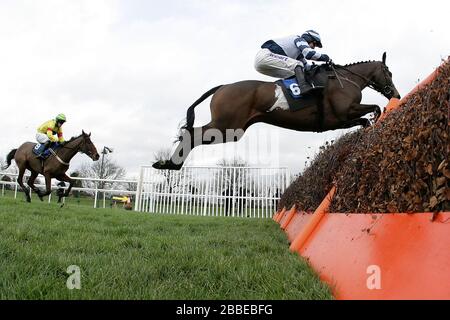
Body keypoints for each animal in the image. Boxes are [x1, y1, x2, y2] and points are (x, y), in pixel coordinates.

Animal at [154, 52, 400, 170]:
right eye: (389, 72)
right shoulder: (343, 112)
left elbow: (365, 121)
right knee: (192, 134)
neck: (344, 80)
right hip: (227, 127)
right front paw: (377, 121)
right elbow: (374, 109)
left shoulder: (338, 121)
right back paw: (171, 164)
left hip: (233, 128)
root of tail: (223, 86)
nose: (396, 94)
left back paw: (168, 164)